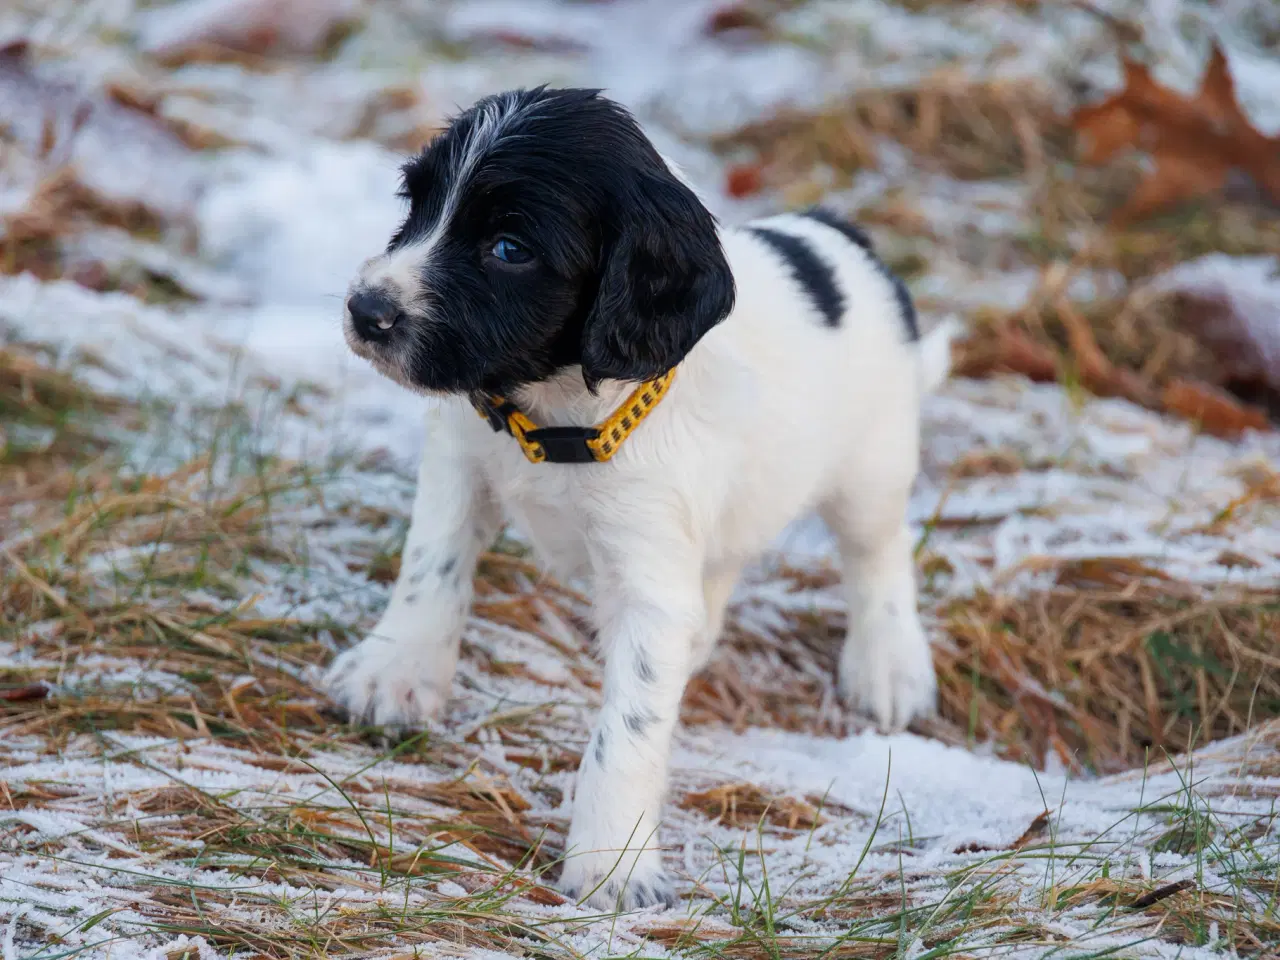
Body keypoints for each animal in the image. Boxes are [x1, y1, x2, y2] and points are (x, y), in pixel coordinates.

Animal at [325, 86, 957, 911]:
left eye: (509, 249)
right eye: (417, 203)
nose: (367, 311)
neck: (561, 417)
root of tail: (843, 237)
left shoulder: (648, 575)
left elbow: (628, 723)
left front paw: (611, 862)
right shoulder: (461, 459)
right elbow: (431, 567)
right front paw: (394, 671)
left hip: (871, 468)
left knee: (876, 556)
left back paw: (888, 665)